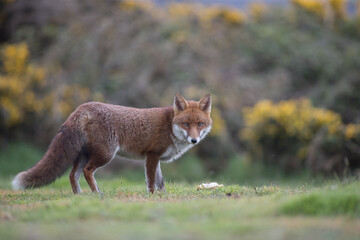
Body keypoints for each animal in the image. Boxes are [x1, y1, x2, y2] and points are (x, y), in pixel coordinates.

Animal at [11, 93, 211, 193]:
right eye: (186, 124)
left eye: (200, 124)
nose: (194, 139)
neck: (170, 126)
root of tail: (83, 107)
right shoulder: (152, 155)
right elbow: (151, 182)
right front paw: (152, 197)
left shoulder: (156, 159)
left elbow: (161, 183)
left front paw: (163, 197)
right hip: (105, 155)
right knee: (86, 171)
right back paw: (97, 194)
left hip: (85, 155)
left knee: (72, 175)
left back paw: (79, 197)